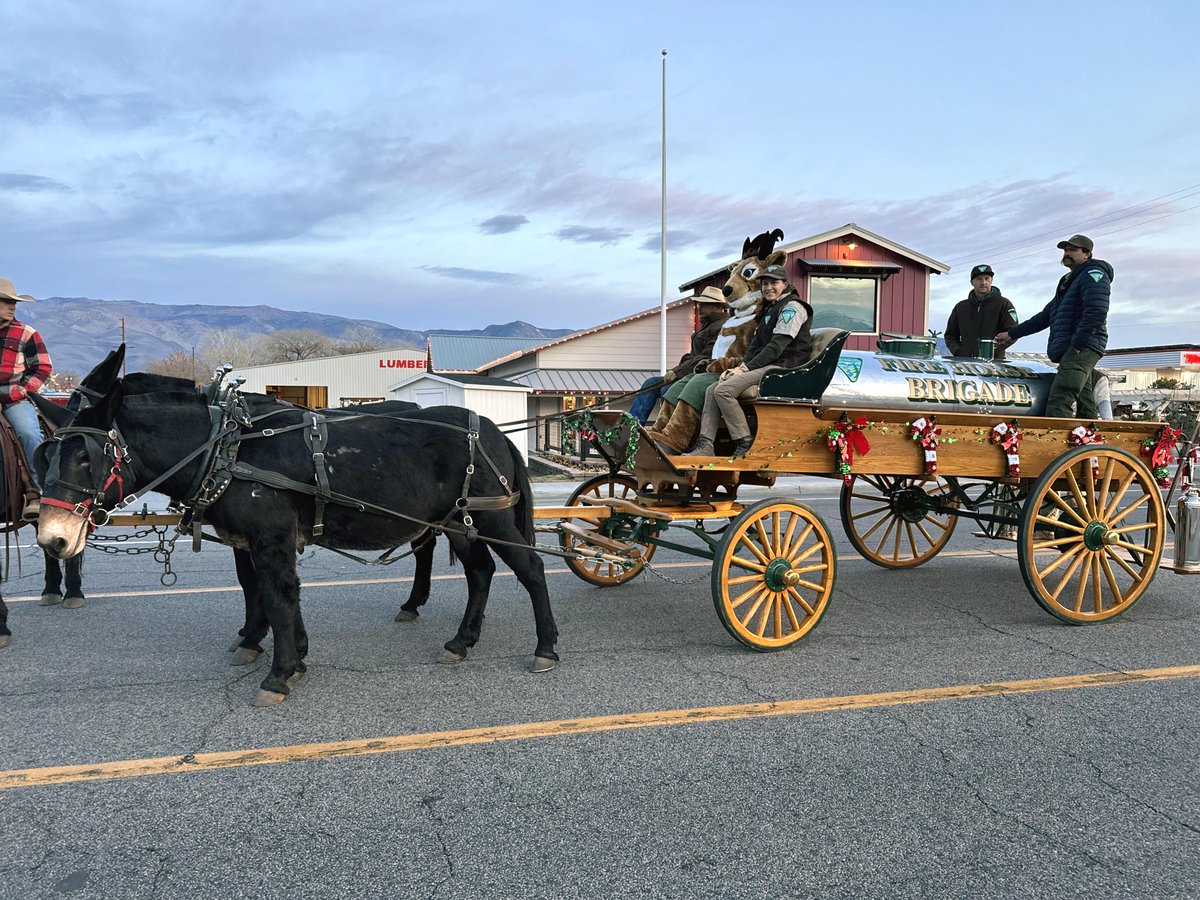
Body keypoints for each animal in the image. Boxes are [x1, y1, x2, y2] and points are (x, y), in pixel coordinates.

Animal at [37, 348, 556, 710]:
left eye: (85, 456)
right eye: (46, 453)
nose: (51, 538)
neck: (229, 446)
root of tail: (492, 429)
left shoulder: (271, 539)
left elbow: (278, 596)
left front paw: (279, 672)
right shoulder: (252, 541)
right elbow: (265, 591)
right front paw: (282, 652)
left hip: (489, 516)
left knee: (530, 569)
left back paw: (546, 647)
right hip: (457, 522)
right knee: (480, 572)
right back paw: (460, 641)